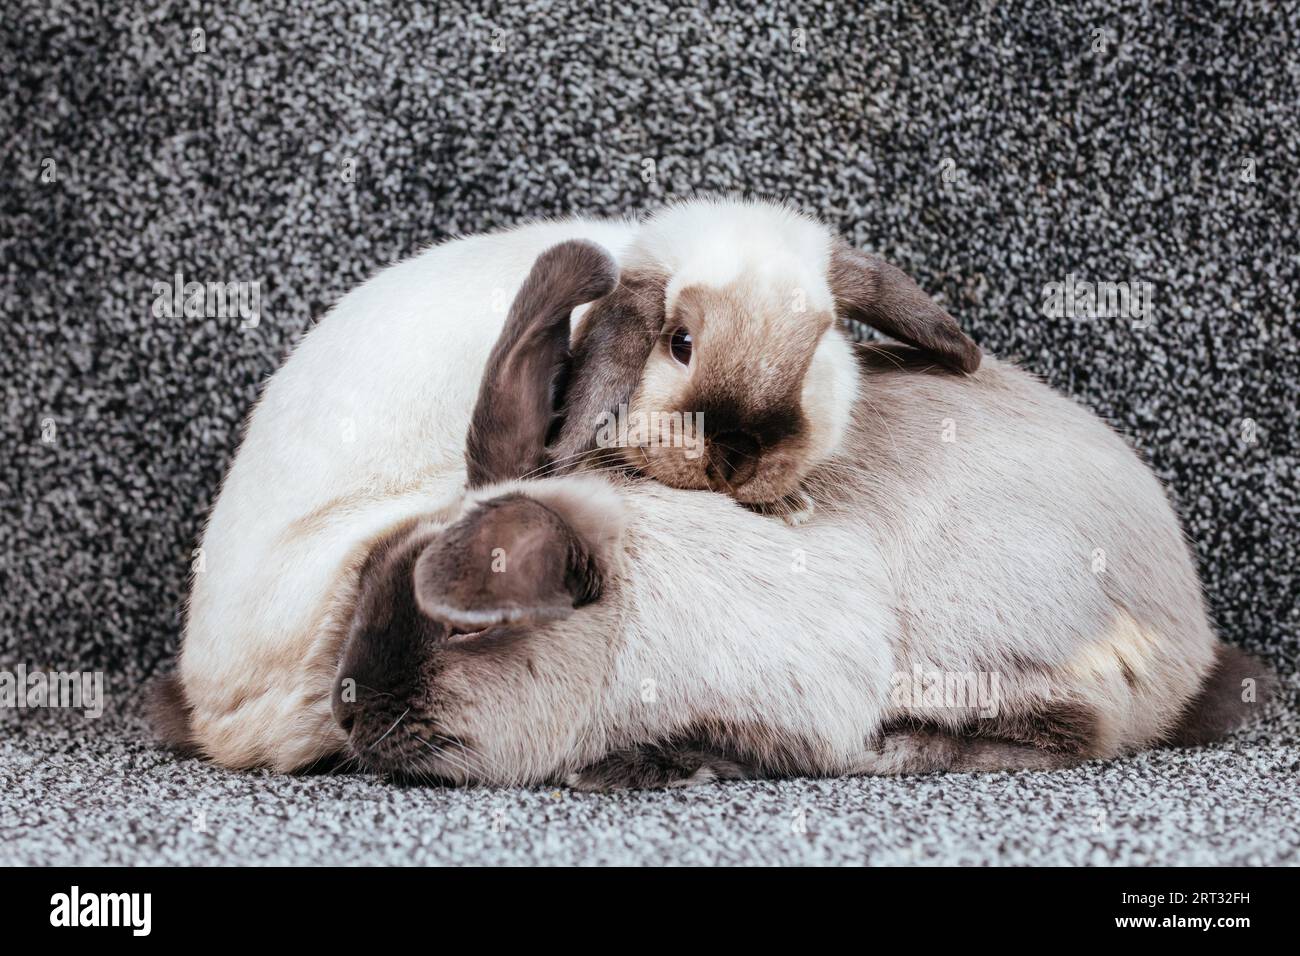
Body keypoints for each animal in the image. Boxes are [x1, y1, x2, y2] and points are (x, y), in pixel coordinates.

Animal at [152, 199, 1271, 788]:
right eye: (675, 340)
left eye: (821, 345)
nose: (355, 705)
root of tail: (1182, 627)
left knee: (1077, 727)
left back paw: (905, 746)